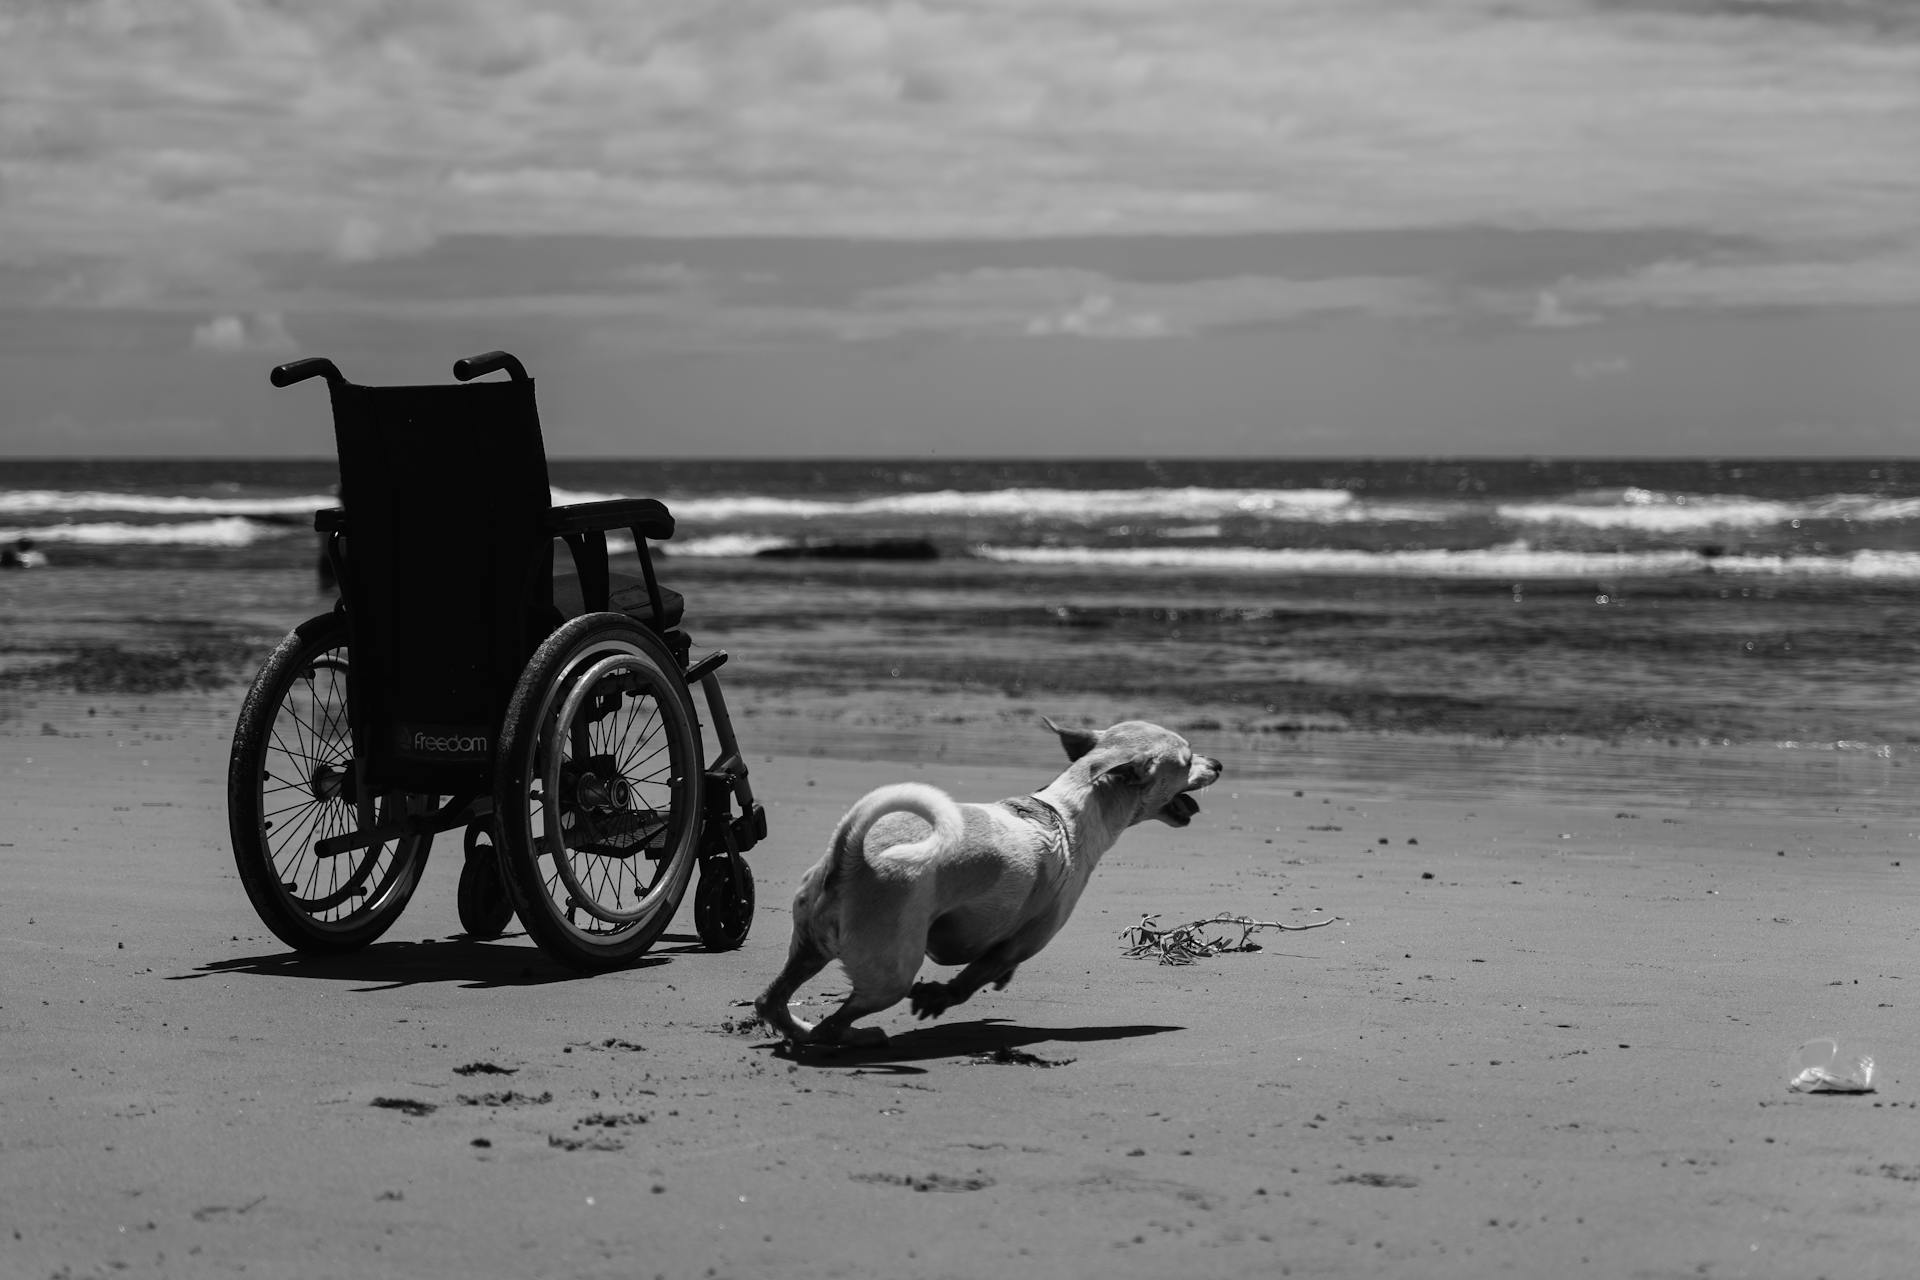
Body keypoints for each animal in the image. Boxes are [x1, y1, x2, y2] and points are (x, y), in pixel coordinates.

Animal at [756, 717, 1221, 1043]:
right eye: (1187, 760)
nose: (1218, 762)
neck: (1067, 811)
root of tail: (852, 856)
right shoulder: (1023, 941)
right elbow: (970, 979)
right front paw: (940, 998)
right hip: (891, 972)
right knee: (834, 1024)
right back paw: (855, 1036)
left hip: (810, 946)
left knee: (771, 1000)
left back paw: (798, 1030)